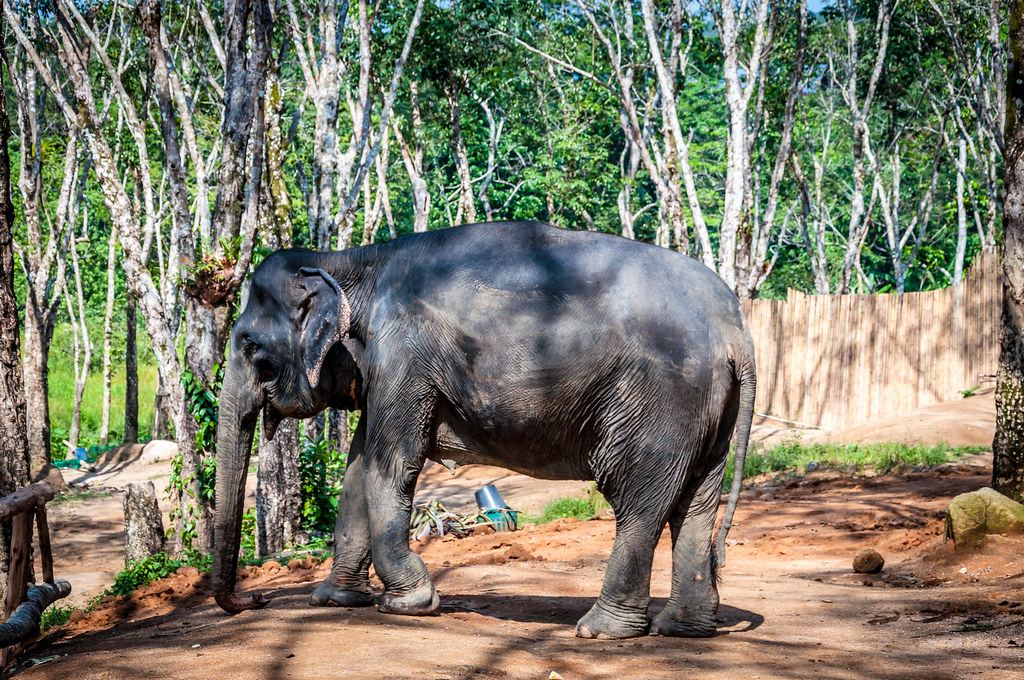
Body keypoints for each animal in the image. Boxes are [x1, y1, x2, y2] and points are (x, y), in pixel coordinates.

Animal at [213, 220, 755, 639]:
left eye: (252, 349)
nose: (257, 599)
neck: (350, 262)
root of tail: (737, 331)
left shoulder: (403, 356)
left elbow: (392, 465)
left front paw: (409, 603)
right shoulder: (384, 371)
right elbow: (357, 469)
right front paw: (334, 600)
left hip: (663, 402)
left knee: (639, 500)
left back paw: (601, 631)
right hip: (709, 411)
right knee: (696, 502)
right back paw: (682, 628)